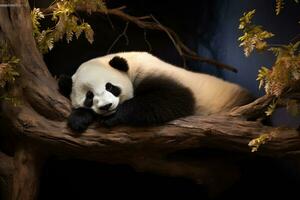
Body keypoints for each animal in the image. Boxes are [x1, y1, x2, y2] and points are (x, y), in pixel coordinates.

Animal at [59, 52, 253, 133]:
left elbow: (174, 98)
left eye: (110, 87)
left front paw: (113, 116)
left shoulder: (153, 72)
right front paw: (79, 118)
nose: (107, 106)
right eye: (89, 96)